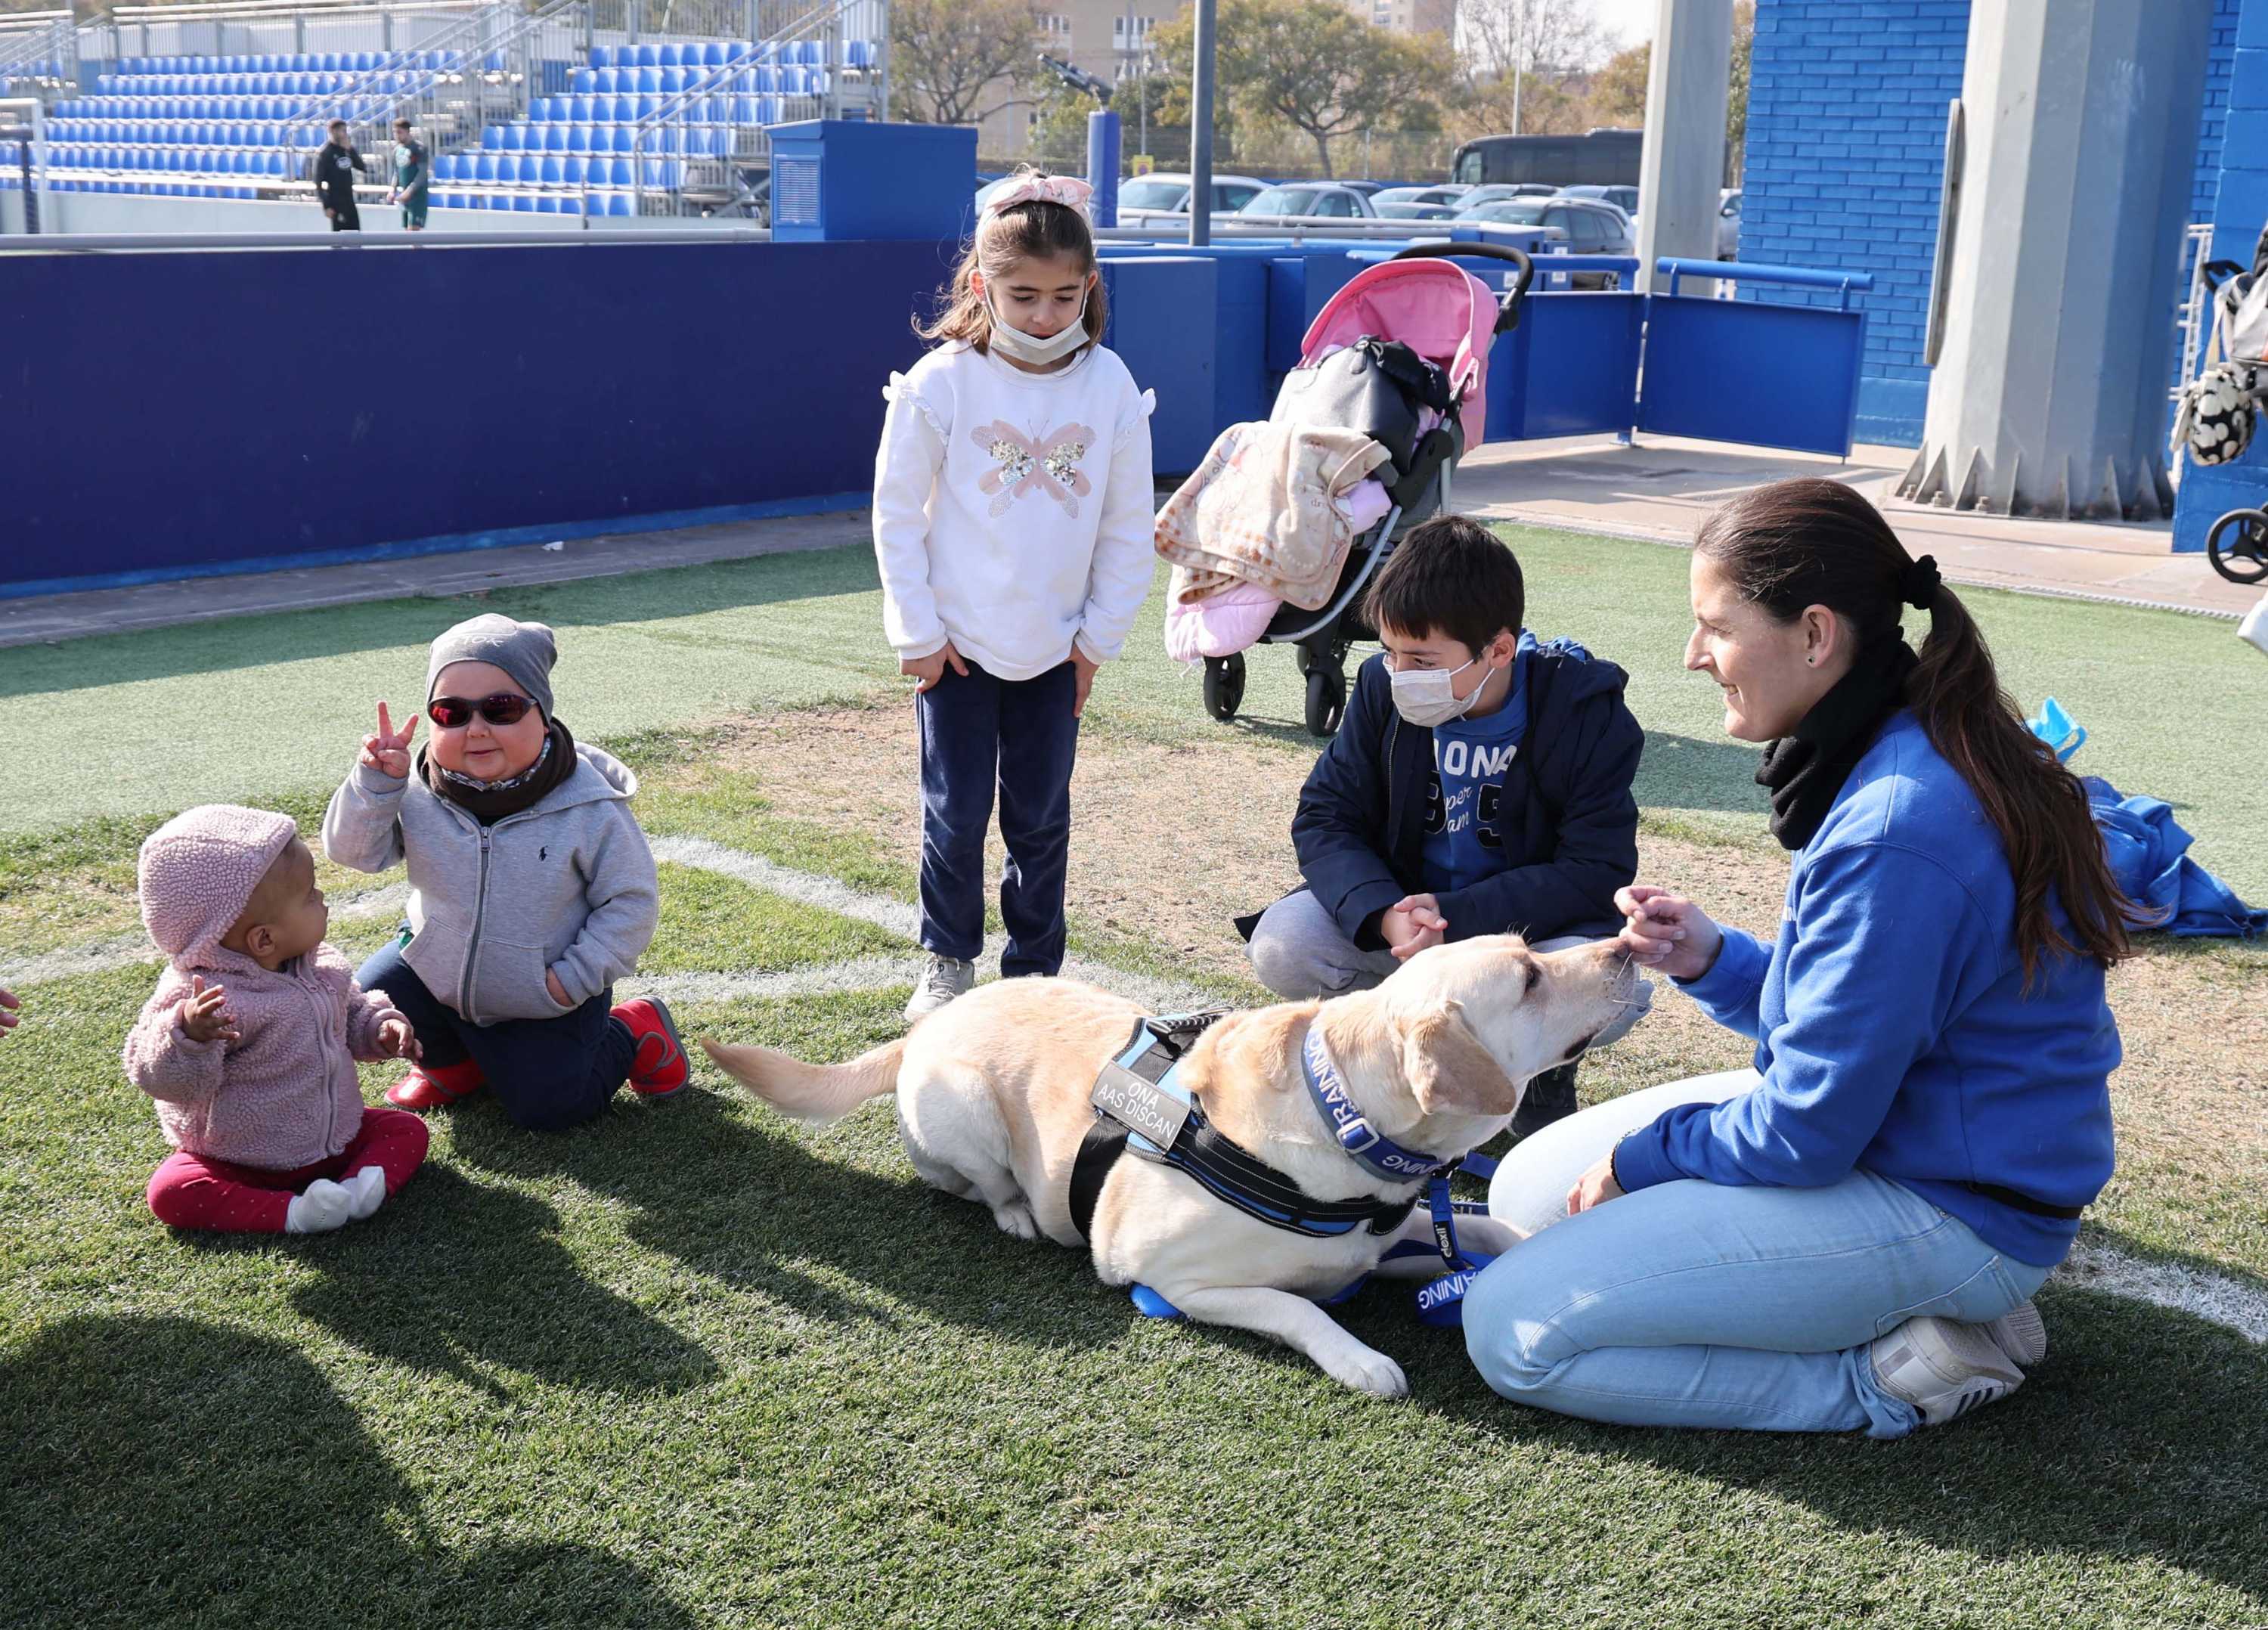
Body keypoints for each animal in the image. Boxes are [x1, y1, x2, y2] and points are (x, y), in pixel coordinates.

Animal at [703, 935, 1640, 1396]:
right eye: (1528, 976)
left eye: (1533, 949)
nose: (1627, 944)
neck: (1343, 1118)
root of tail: (928, 1026)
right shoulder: (1175, 1276)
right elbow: (1297, 1306)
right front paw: (1360, 1359)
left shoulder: (1380, 1233)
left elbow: (1490, 1225)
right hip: (962, 1106)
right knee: (981, 1184)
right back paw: (1017, 1212)